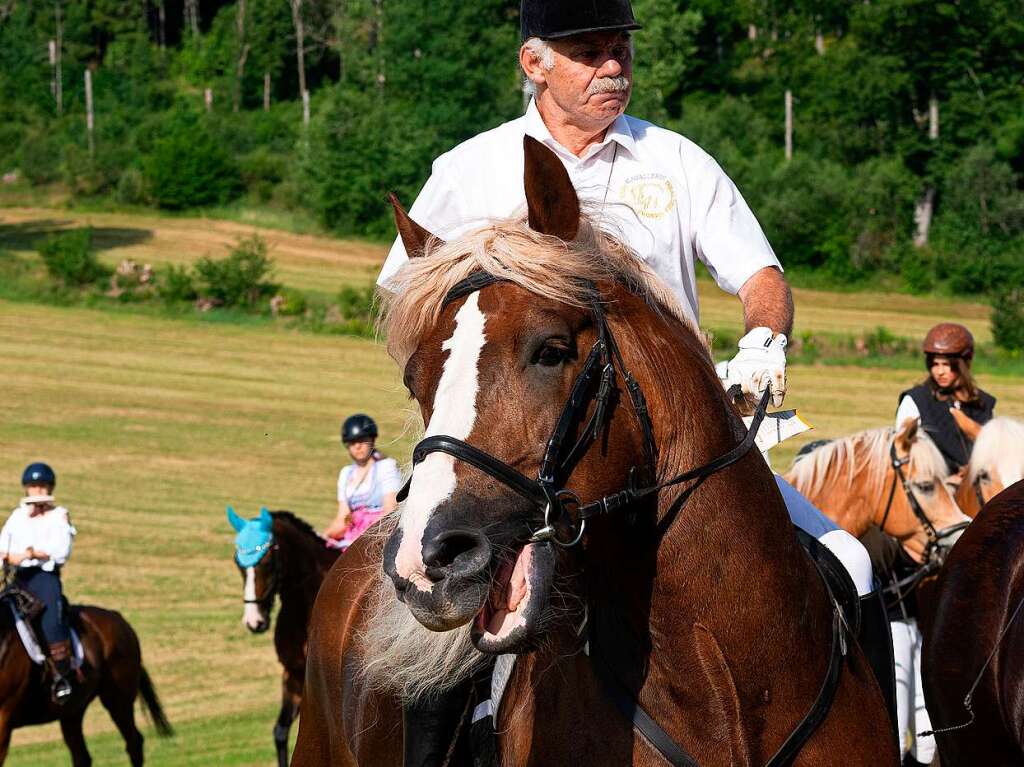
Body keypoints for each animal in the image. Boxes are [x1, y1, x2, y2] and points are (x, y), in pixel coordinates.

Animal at [0, 577, 171, 761]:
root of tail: (119, 618)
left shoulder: (3, 720)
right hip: (72, 711)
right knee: (82, 756)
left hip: (118, 700)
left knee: (134, 742)